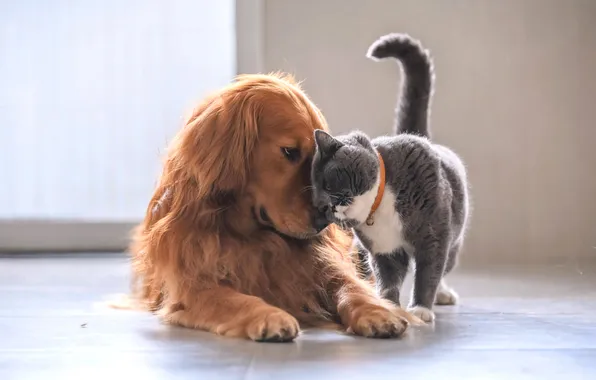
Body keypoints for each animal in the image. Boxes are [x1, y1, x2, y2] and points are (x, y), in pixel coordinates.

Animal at [128, 72, 416, 340]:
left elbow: (350, 286)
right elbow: (233, 299)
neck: (252, 236)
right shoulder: (192, 286)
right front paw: (269, 316)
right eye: (289, 152)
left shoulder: (322, 265)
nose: (325, 222)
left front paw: (378, 312)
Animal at [312, 33, 470, 324]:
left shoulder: (433, 235)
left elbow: (428, 271)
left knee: (444, 265)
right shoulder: (384, 250)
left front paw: (420, 308)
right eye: (319, 206)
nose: (329, 206)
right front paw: (386, 304)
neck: (381, 204)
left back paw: (443, 295)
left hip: (454, 236)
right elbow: (388, 278)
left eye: (328, 183)